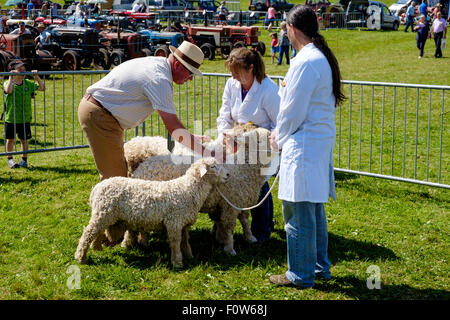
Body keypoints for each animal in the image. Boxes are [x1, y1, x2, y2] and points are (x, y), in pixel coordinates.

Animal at [74, 157, 229, 268]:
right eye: (213, 166)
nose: (227, 174)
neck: (189, 189)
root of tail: (97, 187)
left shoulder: (183, 223)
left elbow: (185, 240)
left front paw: (189, 256)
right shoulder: (173, 222)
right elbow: (175, 242)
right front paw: (177, 262)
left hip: (104, 214)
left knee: (96, 232)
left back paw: (96, 248)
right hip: (103, 213)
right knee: (88, 232)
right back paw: (81, 257)